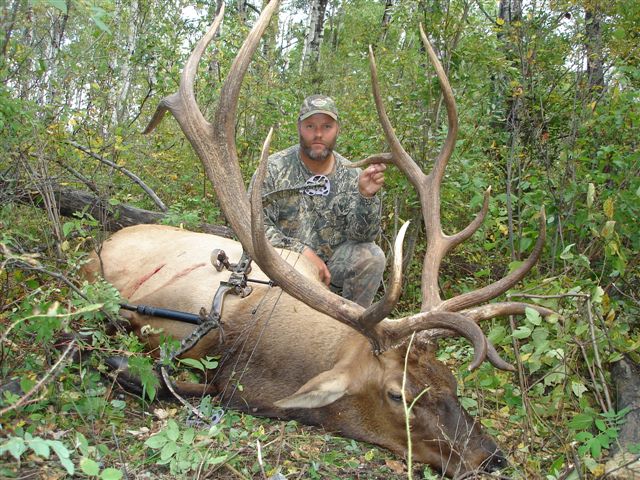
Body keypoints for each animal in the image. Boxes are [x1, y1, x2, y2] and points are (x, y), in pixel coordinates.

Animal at [84, 1, 554, 476]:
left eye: (451, 380)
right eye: (397, 394)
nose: (491, 457)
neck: (252, 339)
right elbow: (158, 378)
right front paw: (119, 362)